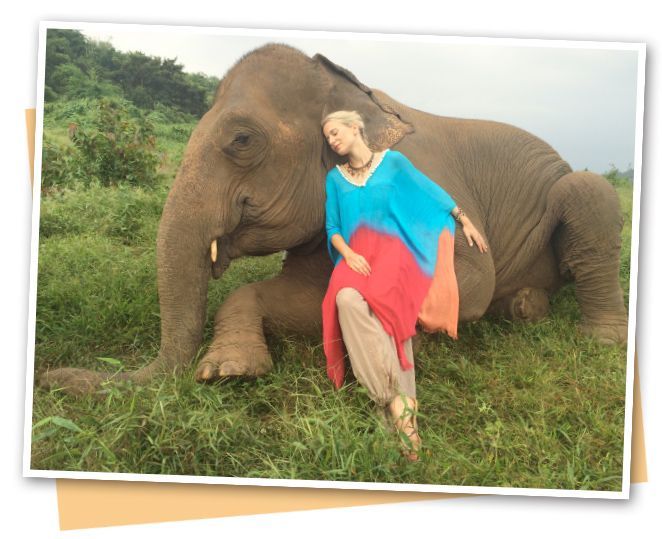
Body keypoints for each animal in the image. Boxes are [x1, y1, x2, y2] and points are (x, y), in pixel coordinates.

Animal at [40, 43, 628, 396]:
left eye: (242, 140)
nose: (48, 376)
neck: (352, 87)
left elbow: (468, 281)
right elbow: (307, 293)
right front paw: (229, 371)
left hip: (575, 192)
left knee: (589, 193)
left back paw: (603, 340)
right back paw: (525, 307)